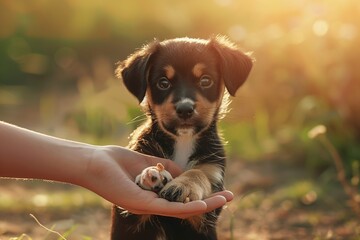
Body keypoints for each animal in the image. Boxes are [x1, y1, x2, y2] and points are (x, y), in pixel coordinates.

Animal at [111, 36, 252, 240]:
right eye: (163, 83)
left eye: (205, 80)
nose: (185, 109)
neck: (183, 141)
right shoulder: (130, 218)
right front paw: (151, 175)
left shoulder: (212, 175)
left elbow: (198, 172)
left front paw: (182, 185)